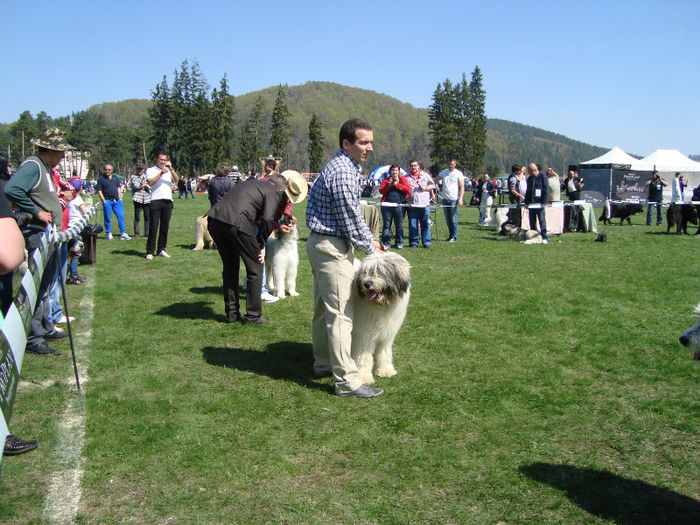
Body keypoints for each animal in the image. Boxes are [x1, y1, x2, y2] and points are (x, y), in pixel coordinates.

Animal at [350, 252, 410, 382]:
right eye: (365, 272)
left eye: (380, 271)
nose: (367, 284)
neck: (381, 307)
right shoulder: (364, 335)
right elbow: (363, 356)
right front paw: (363, 376)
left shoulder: (386, 335)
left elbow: (384, 353)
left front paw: (385, 370)